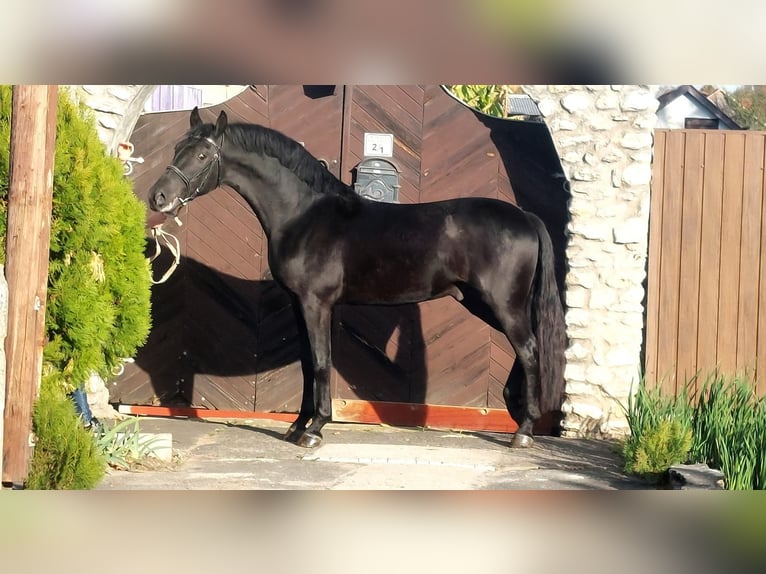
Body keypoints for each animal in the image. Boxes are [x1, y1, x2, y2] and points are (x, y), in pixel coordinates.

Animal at [148, 107, 567, 449]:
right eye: (176, 149)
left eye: (202, 155)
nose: (158, 198)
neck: (305, 215)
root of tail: (525, 217)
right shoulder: (300, 305)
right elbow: (307, 362)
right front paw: (297, 426)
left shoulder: (316, 304)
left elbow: (319, 361)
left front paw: (315, 429)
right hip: (487, 303)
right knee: (525, 348)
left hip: (502, 304)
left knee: (529, 350)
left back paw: (523, 432)